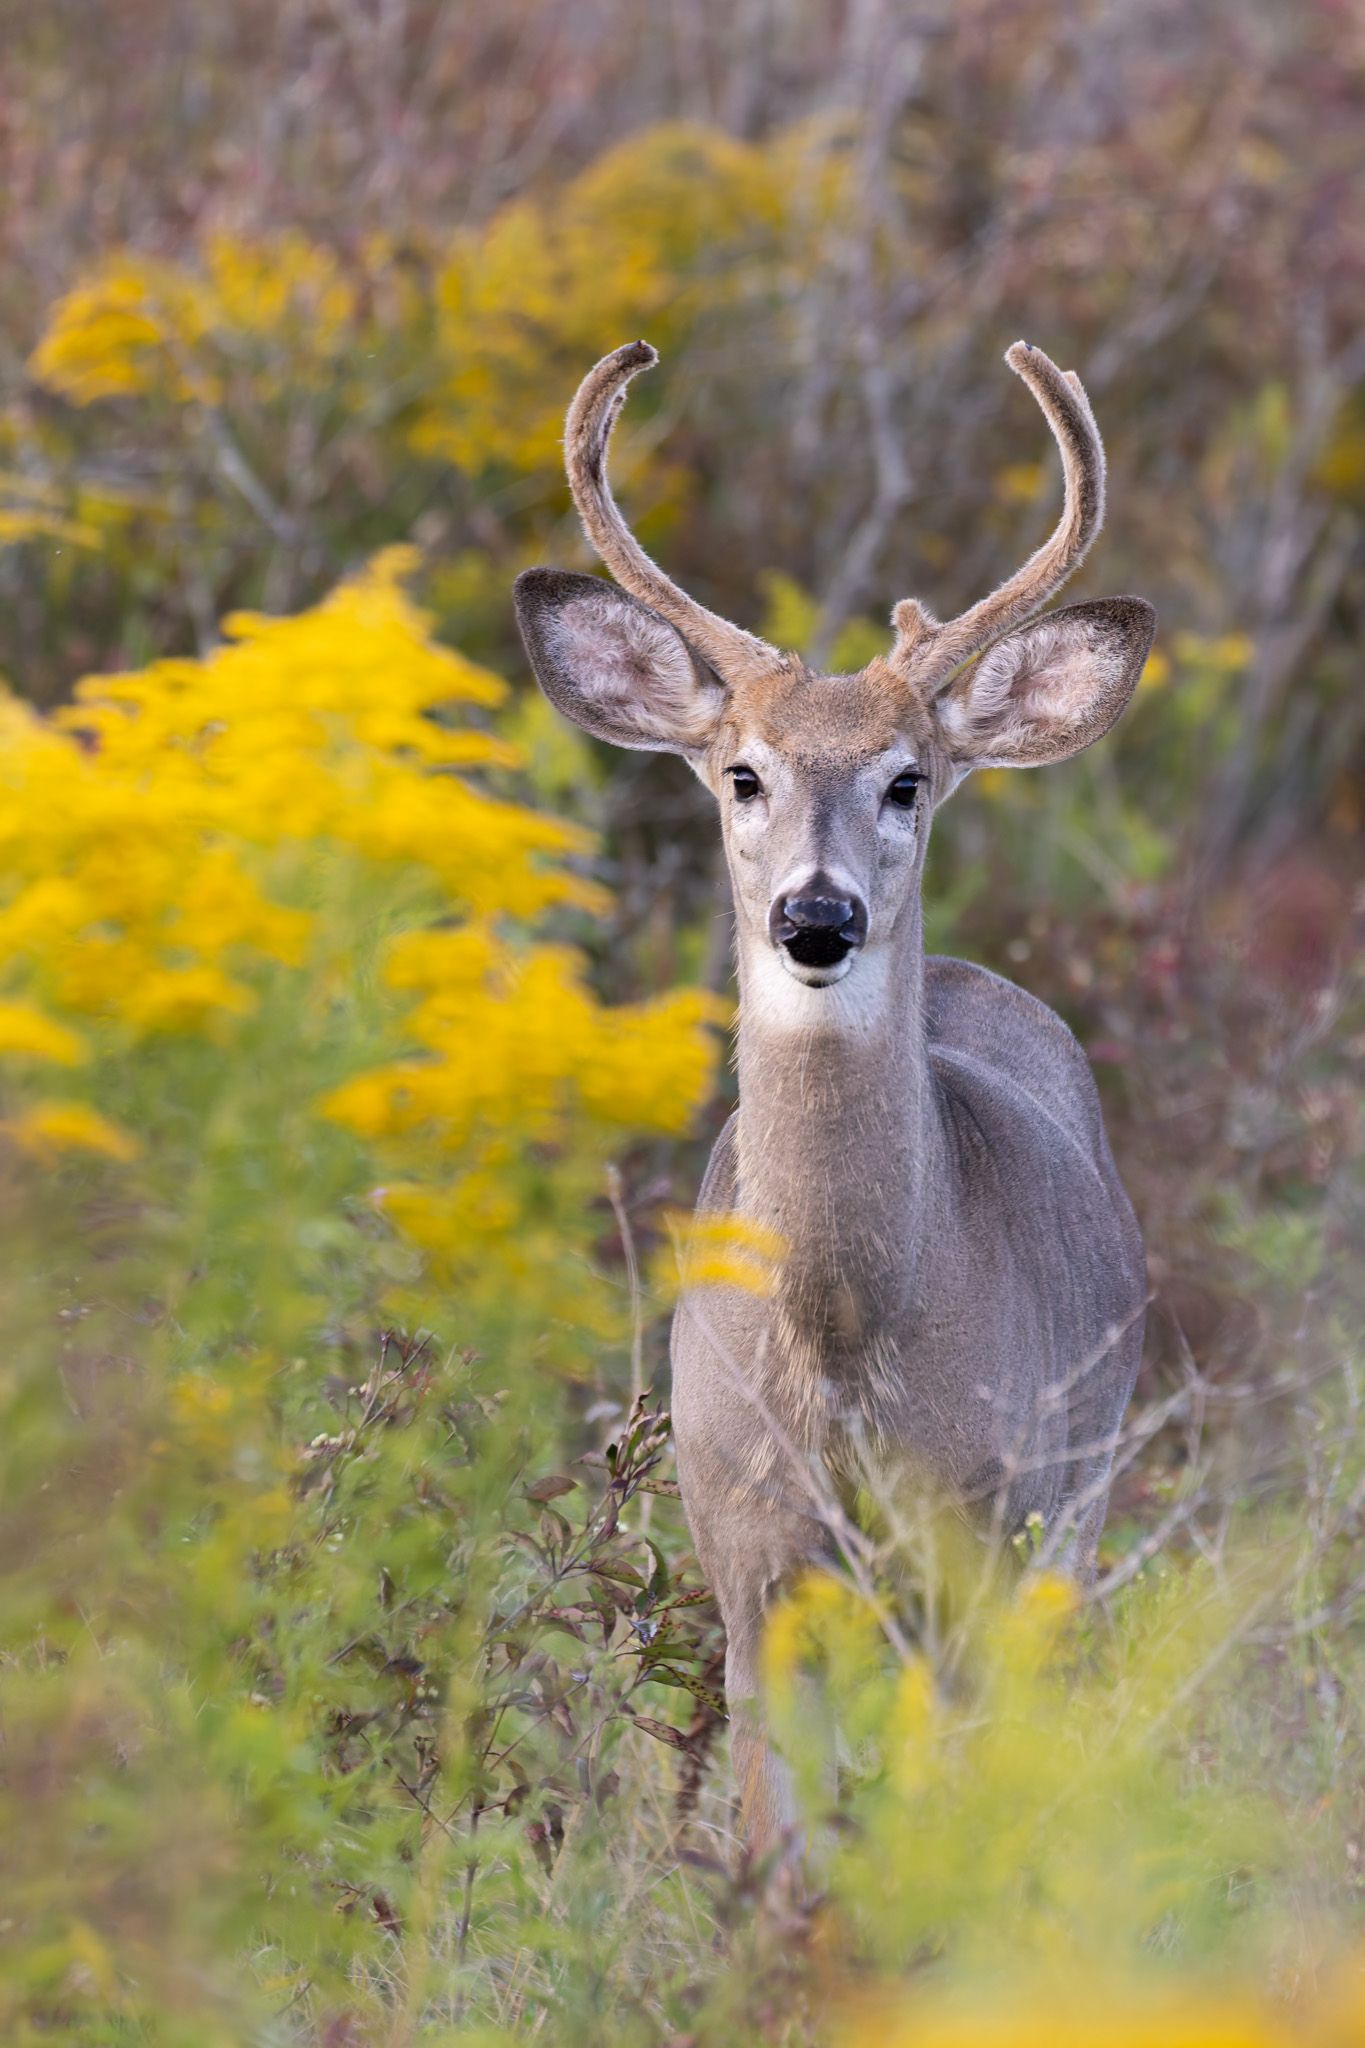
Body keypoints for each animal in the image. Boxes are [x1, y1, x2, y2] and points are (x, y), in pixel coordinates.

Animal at [514, 338, 1155, 1856]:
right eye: (742, 773)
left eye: (908, 780)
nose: (818, 916)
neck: (851, 1345)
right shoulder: (748, 1552)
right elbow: (774, 1839)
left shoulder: (981, 1536)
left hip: (1074, 1508)